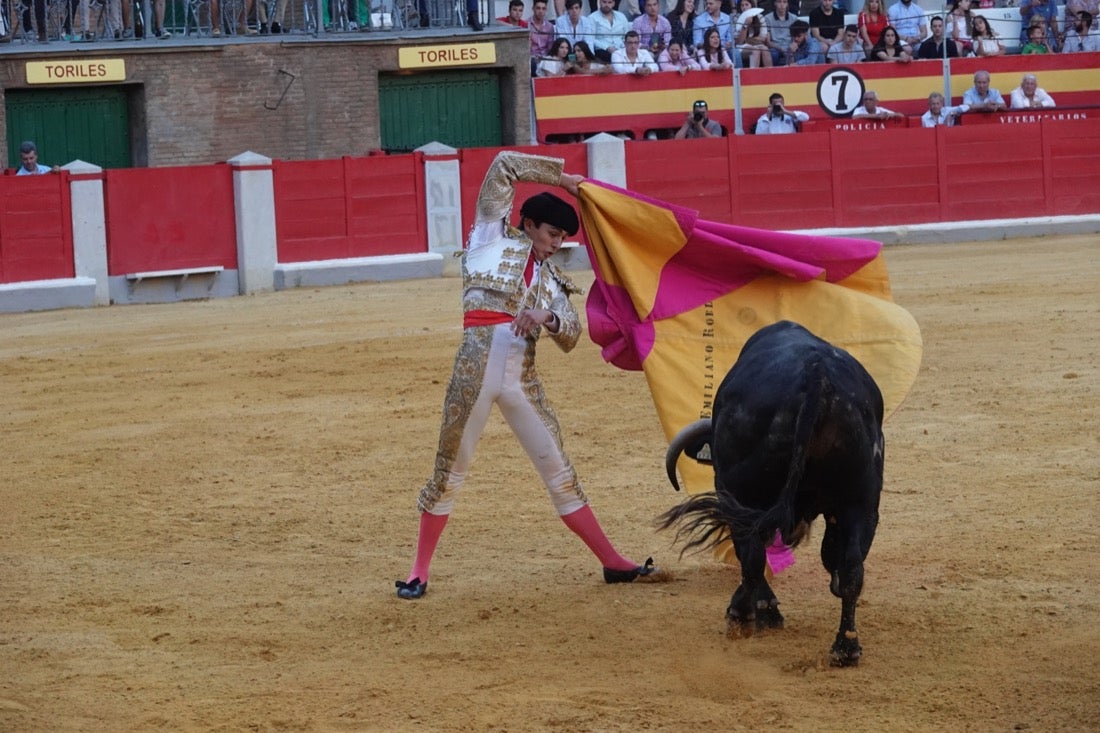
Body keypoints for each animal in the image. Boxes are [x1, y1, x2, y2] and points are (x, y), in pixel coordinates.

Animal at [660, 319, 884, 660]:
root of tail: (817, 375)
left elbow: (751, 556)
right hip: (861, 502)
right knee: (851, 569)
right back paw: (846, 648)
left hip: (742, 494)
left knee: (752, 556)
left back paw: (747, 615)